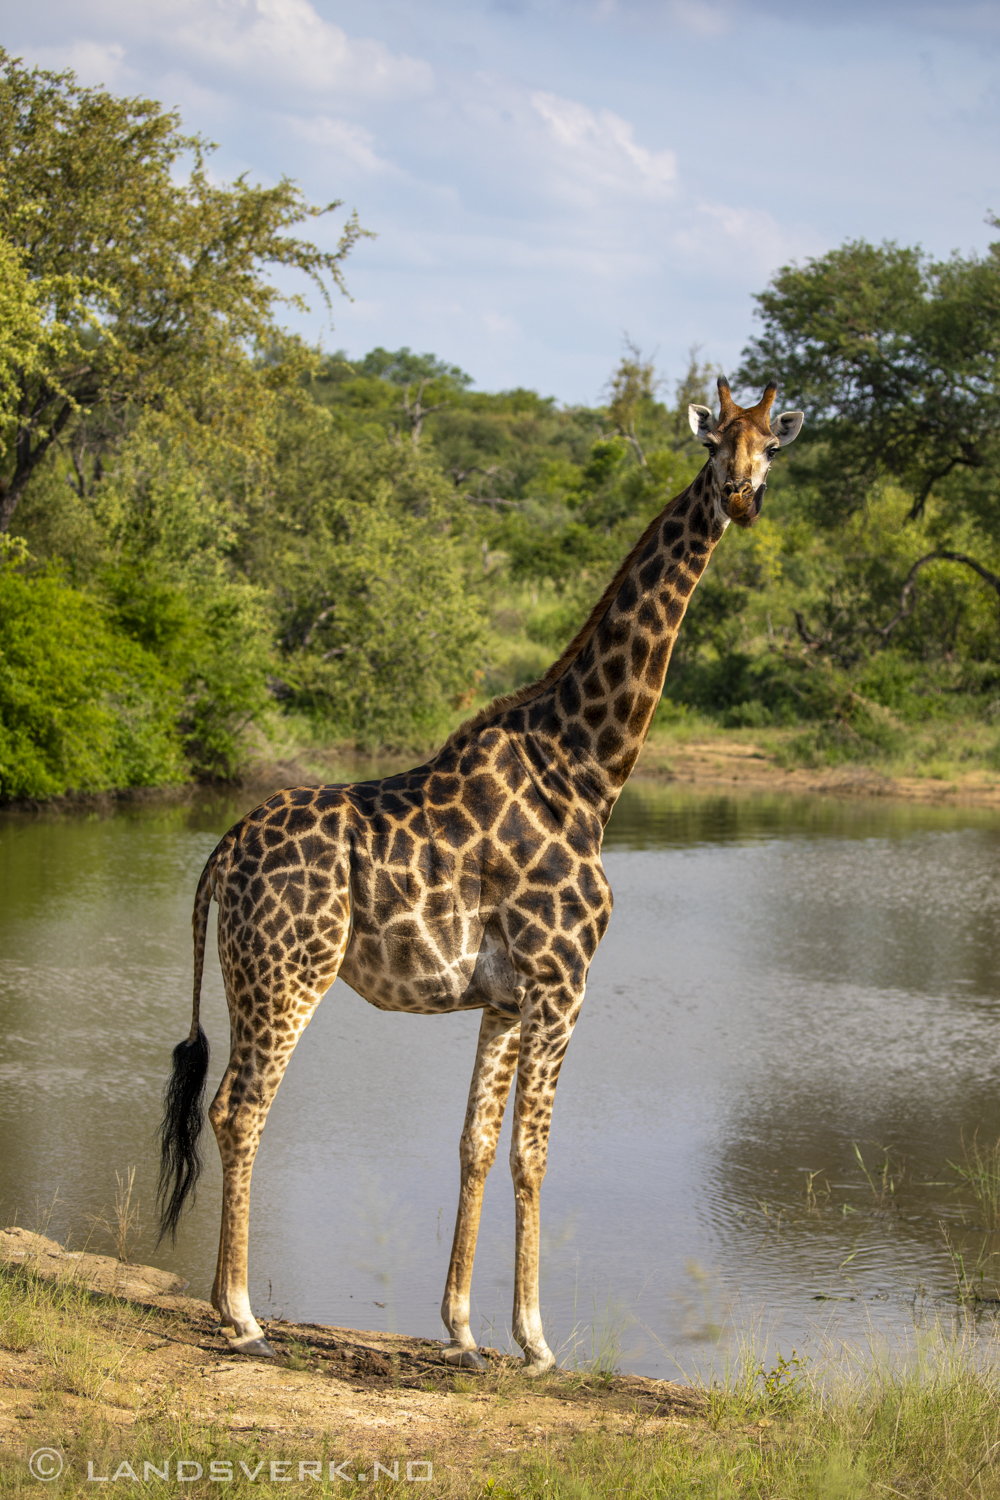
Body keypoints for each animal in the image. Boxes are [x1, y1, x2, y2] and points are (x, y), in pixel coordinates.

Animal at [160, 375, 809, 1374]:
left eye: (770, 447)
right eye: (712, 447)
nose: (740, 497)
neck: (587, 771)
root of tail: (222, 852)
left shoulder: (505, 995)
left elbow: (473, 1143)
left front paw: (463, 1329)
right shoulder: (563, 980)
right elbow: (532, 1153)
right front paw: (536, 1338)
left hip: (249, 975)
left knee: (234, 1107)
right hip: (289, 972)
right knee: (240, 1110)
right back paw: (242, 1316)